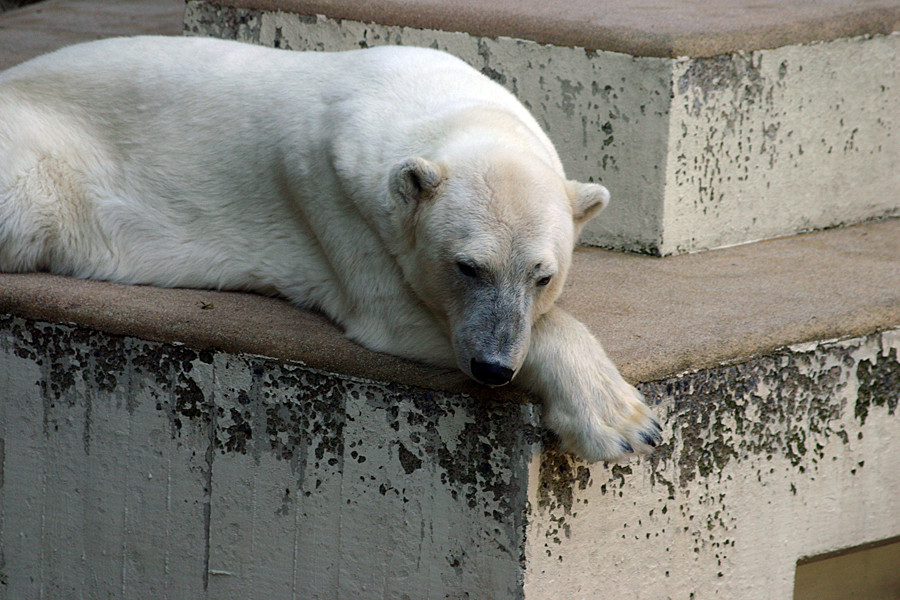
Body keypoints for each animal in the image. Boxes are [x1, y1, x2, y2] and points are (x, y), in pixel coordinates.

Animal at [0, 36, 660, 460]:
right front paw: (626, 423)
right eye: (468, 267)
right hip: (36, 166)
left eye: (542, 275)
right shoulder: (338, 199)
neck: (421, 98)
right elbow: (398, 317)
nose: (494, 367)